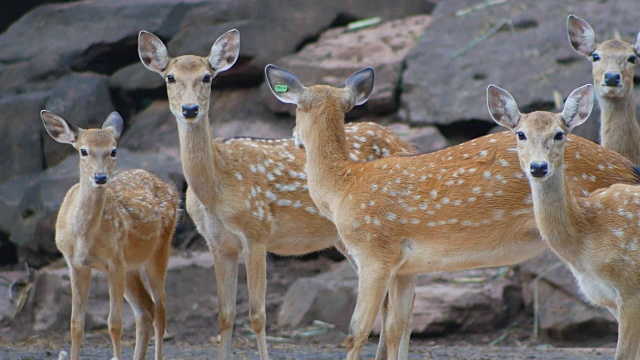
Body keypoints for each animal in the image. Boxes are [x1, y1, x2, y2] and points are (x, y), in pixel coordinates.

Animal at [40, 110, 180, 360]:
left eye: (113, 150)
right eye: (83, 150)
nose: (100, 177)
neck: (84, 239)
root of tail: (171, 189)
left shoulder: (114, 262)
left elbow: (114, 323)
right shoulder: (76, 265)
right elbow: (76, 324)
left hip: (159, 250)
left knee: (161, 310)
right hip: (131, 266)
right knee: (146, 309)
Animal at [138, 29, 418, 358]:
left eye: (207, 77)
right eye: (169, 77)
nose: (190, 109)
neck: (216, 188)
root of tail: (406, 143)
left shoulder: (256, 232)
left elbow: (257, 315)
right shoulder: (217, 244)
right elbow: (225, 315)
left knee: (403, 310)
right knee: (390, 306)